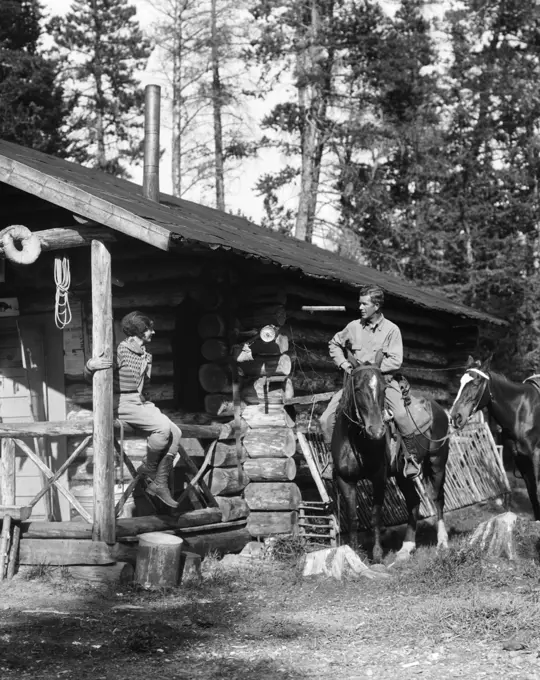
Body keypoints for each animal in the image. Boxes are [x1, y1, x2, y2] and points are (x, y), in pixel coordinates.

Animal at [334, 362, 452, 564]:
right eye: (357, 389)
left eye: (383, 389)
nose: (377, 431)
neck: (357, 440)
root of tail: (439, 408)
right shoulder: (345, 480)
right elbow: (352, 517)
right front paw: (354, 552)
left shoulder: (378, 478)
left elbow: (375, 516)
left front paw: (377, 554)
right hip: (402, 474)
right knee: (413, 501)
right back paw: (406, 547)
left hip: (437, 462)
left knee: (437, 498)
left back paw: (442, 543)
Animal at [450, 356, 540, 520]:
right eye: (461, 382)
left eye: (475, 383)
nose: (456, 416)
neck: (522, 412)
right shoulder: (521, 459)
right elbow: (532, 493)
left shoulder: (536, 456)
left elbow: (537, 491)